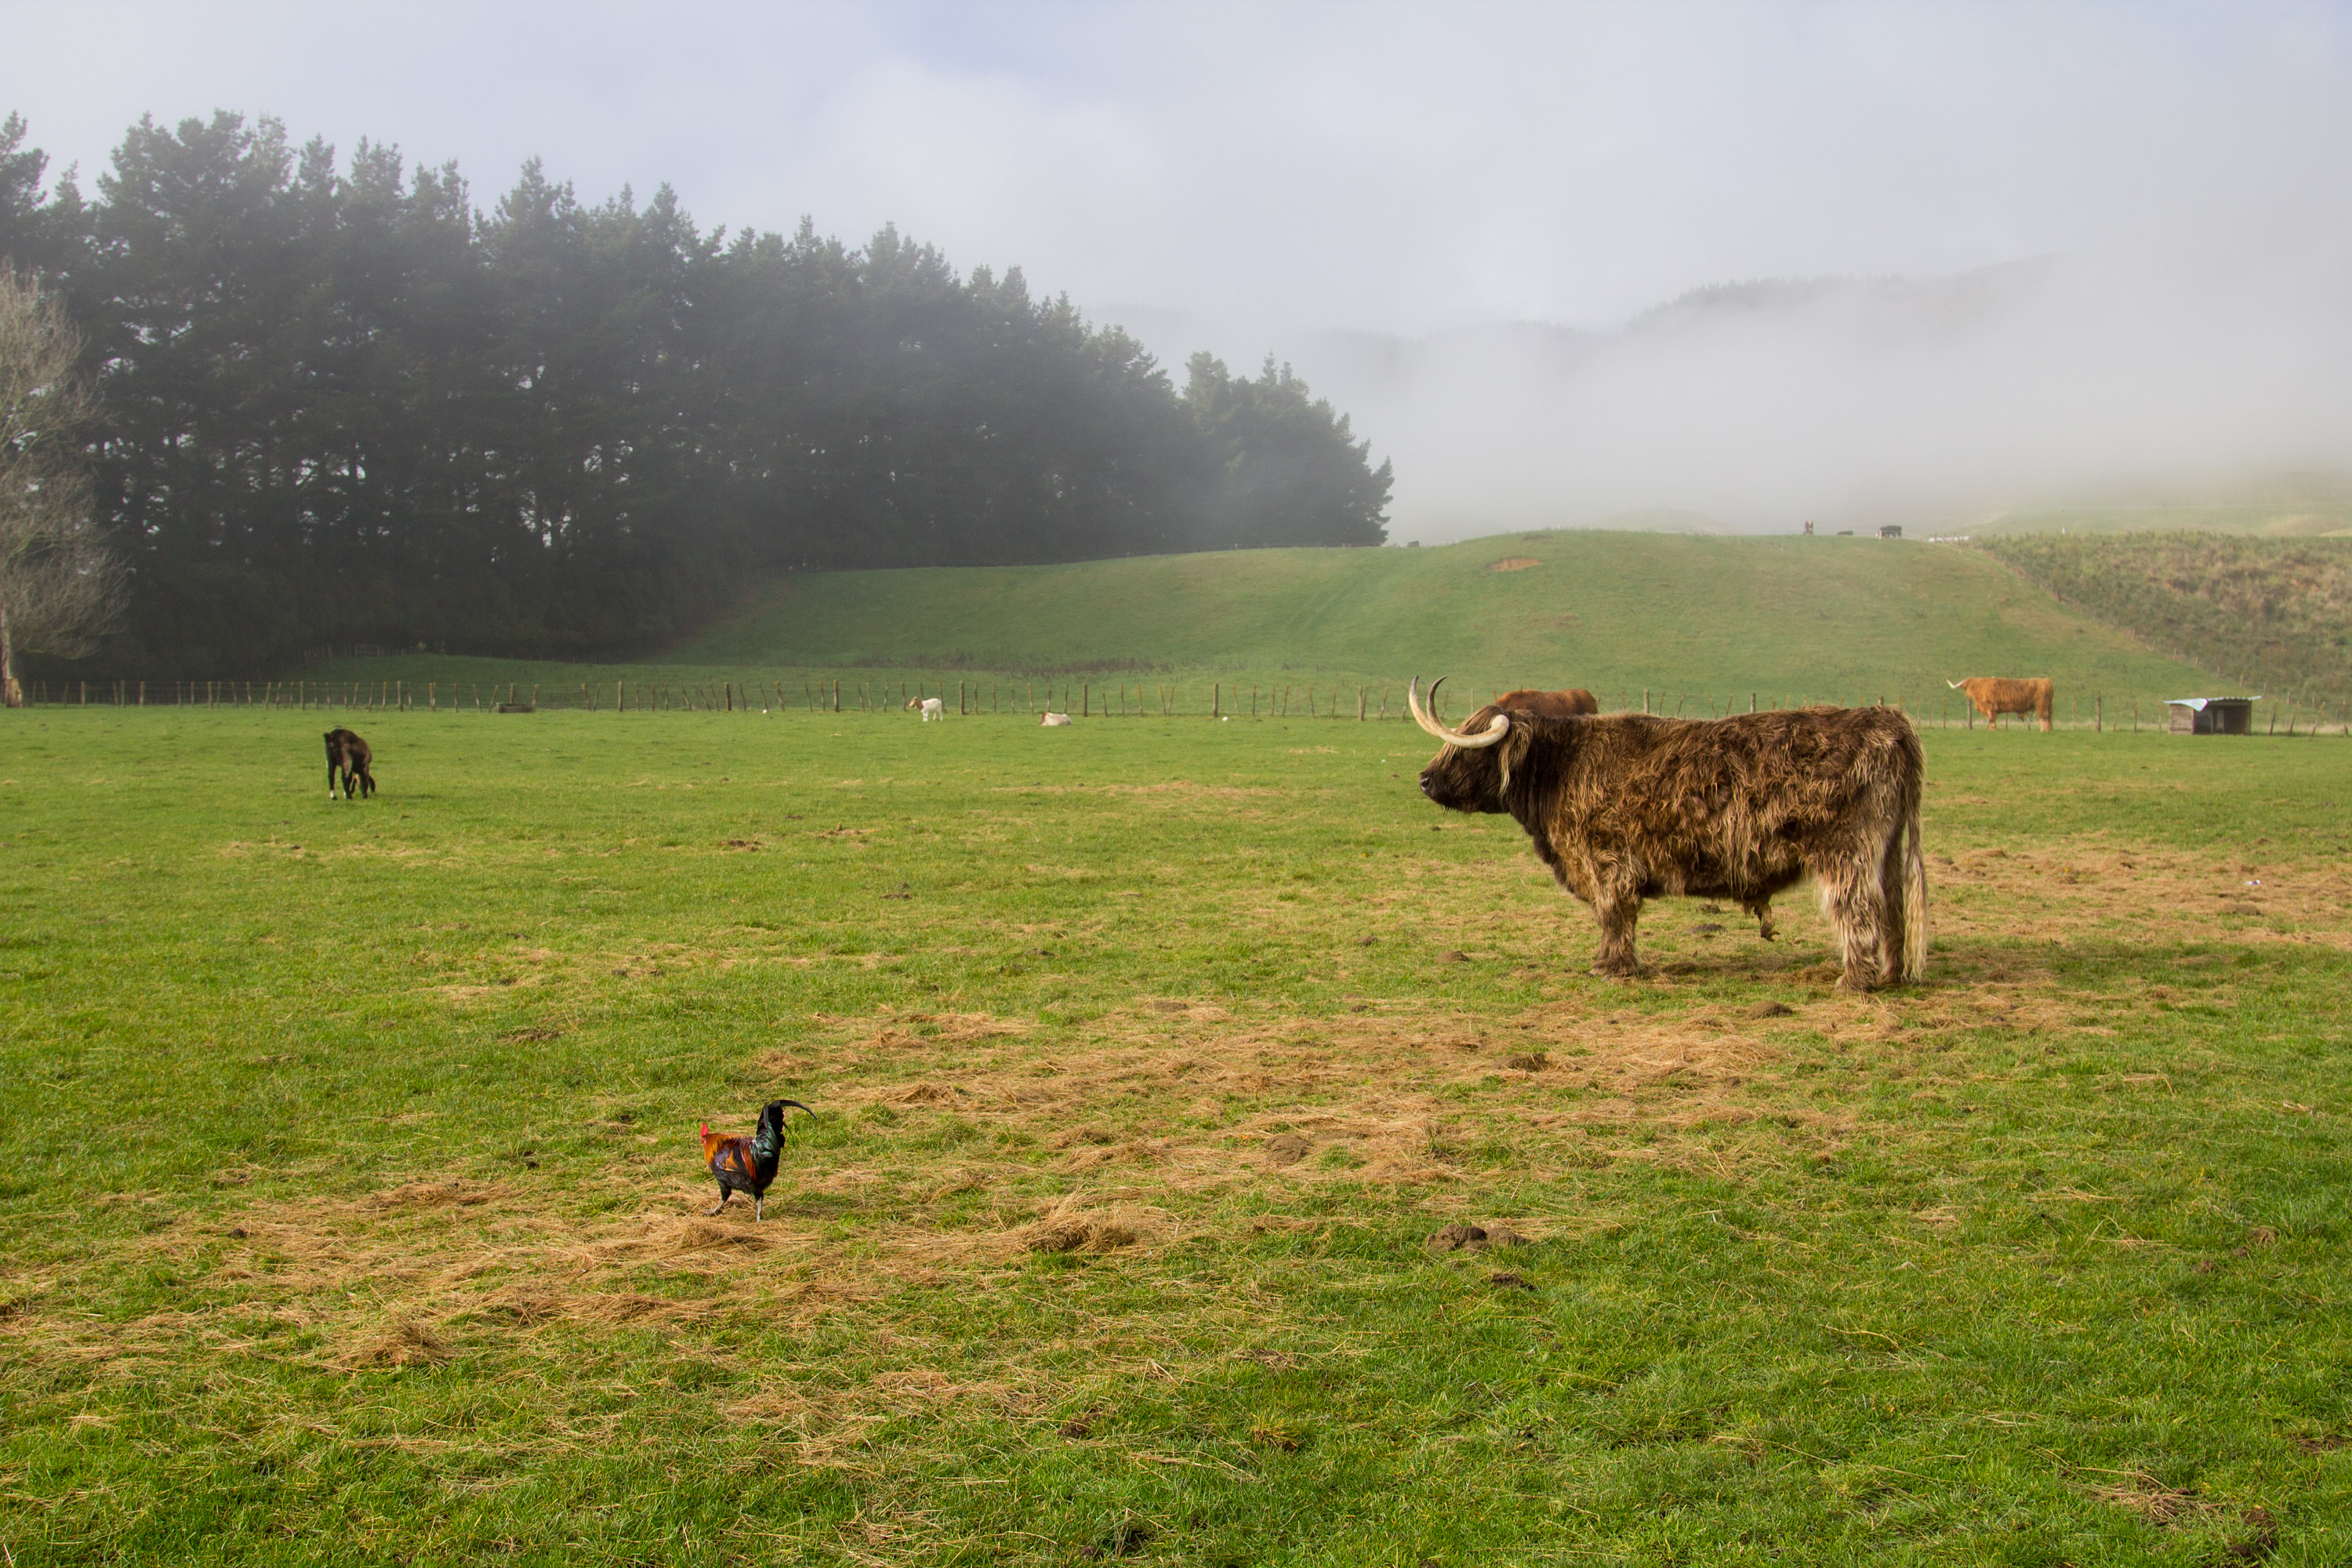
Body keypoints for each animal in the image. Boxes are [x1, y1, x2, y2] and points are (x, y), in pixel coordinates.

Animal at [1410, 678, 1926, 991]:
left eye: (1467, 750)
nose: (1424, 780)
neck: (1559, 769)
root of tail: (1889, 721)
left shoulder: (1609, 862)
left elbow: (1614, 915)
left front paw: (1610, 967)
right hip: (1886, 849)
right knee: (1895, 905)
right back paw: (1891, 973)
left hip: (1847, 853)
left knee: (1859, 909)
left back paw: (1855, 980)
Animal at [1947, 677, 2053, 732]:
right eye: (1970, 687)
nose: (1968, 694)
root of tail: (2046, 681)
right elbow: (1990, 719)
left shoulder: (1991, 708)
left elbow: (1992, 719)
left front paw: (1993, 729)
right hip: (2048, 706)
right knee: (2049, 718)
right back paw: (2050, 730)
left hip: (2041, 706)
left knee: (2044, 718)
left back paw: (2043, 730)